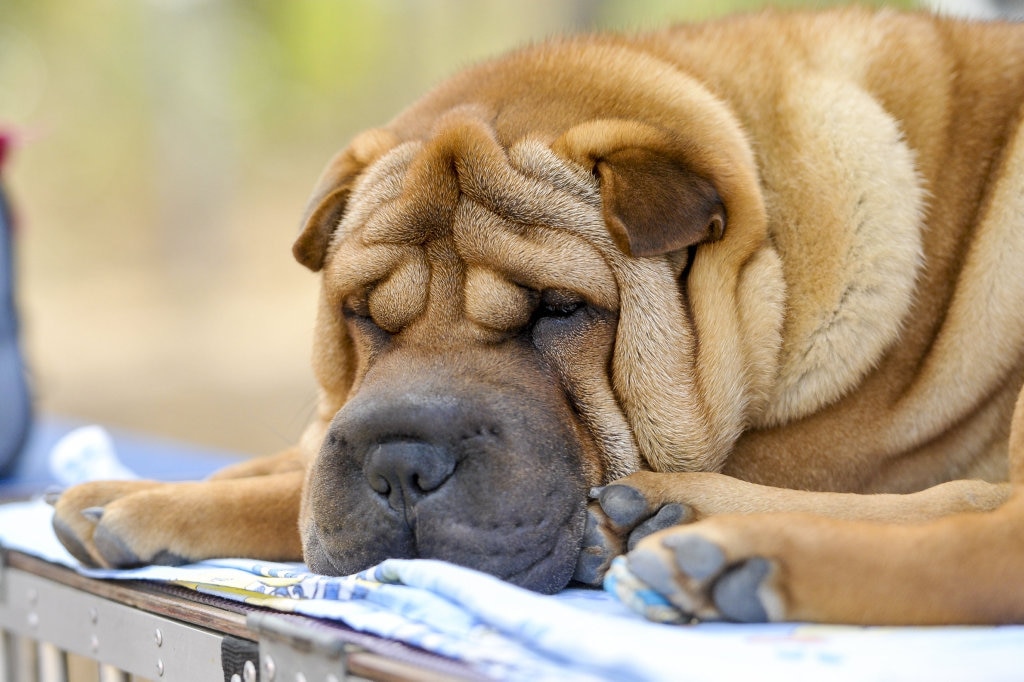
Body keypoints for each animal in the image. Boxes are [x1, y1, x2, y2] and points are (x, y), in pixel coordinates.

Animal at [54, 7, 1024, 622]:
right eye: (364, 314)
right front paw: (126, 488)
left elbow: (287, 493)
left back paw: (716, 546)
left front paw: (147, 500)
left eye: (561, 310)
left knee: (985, 530)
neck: (768, 266)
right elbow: (295, 461)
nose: (400, 460)